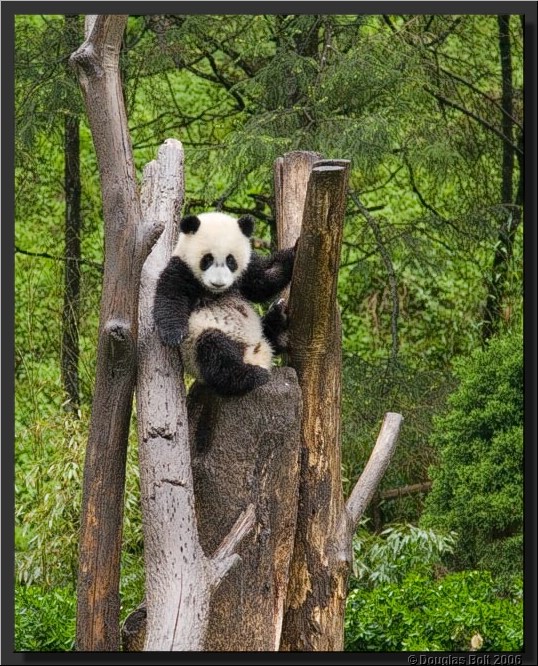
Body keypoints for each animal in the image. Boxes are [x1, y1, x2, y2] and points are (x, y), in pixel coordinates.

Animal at [153, 211, 296, 396]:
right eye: (207, 259)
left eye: (230, 260)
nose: (218, 283)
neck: (215, 292)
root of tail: (257, 355)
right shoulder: (181, 268)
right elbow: (170, 295)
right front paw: (174, 334)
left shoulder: (246, 271)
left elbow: (264, 280)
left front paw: (294, 252)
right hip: (196, 350)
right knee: (216, 354)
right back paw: (252, 375)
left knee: (268, 333)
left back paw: (277, 321)